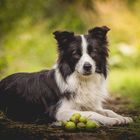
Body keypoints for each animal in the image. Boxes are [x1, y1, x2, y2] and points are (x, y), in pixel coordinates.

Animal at [0, 26, 132, 126]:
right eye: (75, 53)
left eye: (93, 52)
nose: (87, 66)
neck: (81, 80)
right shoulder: (59, 112)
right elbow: (94, 113)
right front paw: (111, 120)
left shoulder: (88, 104)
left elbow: (106, 110)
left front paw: (121, 117)